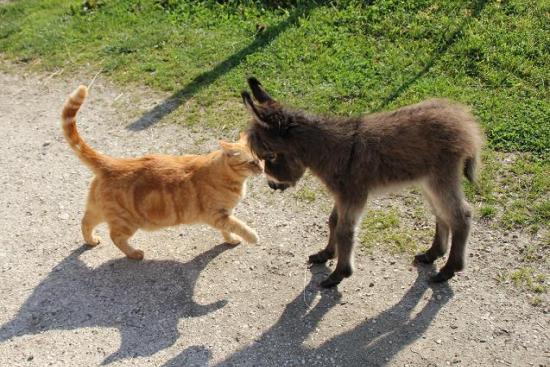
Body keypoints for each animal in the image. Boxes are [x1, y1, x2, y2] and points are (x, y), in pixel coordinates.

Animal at [61, 85, 264, 260]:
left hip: (98, 210)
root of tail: (113, 162)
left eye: (261, 158)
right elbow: (238, 225)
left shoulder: (223, 215)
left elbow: (228, 230)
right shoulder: (218, 215)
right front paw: (252, 237)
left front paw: (231, 240)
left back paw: (91, 241)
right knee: (115, 237)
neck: (232, 180)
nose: (262, 169)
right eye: (252, 162)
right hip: (126, 222)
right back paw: (134, 254)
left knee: (85, 222)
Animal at [243, 77, 484, 288]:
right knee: (442, 214)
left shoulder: (353, 195)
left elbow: (344, 231)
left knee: (461, 216)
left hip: (441, 177)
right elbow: (333, 222)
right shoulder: (341, 194)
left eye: (270, 155)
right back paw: (432, 254)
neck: (326, 150)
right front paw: (326, 254)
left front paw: (339, 274)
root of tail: (464, 121)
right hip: (428, 181)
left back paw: (449, 269)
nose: (272, 185)